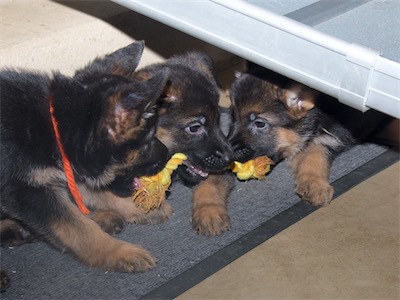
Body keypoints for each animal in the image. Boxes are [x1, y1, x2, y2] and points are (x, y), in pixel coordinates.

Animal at [0, 39, 170, 282]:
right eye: (147, 141)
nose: (167, 154)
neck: (54, 127)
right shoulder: (26, 193)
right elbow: (78, 229)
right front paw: (120, 252)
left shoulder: (69, 168)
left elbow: (95, 193)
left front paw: (138, 208)